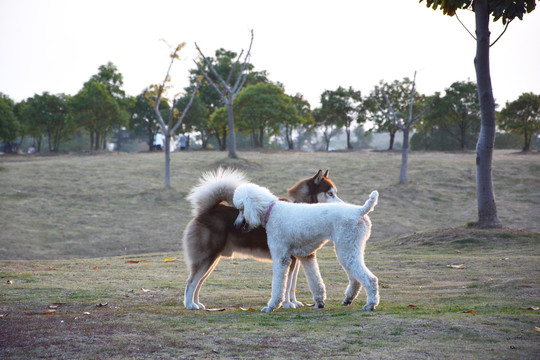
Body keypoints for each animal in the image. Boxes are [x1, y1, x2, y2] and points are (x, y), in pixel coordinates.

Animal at [182, 169, 342, 310]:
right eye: (330, 193)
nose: (342, 204)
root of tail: (208, 210)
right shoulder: (287, 259)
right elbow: (286, 284)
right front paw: (286, 304)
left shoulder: (296, 259)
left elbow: (291, 284)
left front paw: (293, 302)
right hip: (207, 258)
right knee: (191, 281)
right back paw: (190, 304)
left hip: (212, 260)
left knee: (198, 282)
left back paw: (197, 303)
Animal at [233, 183, 380, 312]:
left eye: (241, 209)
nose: (235, 225)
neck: (272, 211)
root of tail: (360, 210)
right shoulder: (306, 256)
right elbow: (315, 280)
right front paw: (319, 302)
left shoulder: (281, 258)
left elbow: (279, 284)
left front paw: (272, 306)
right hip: (350, 248)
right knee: (356, 279)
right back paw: (348, 298)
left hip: (346, 248)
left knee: (370, 279)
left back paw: (371, 304)